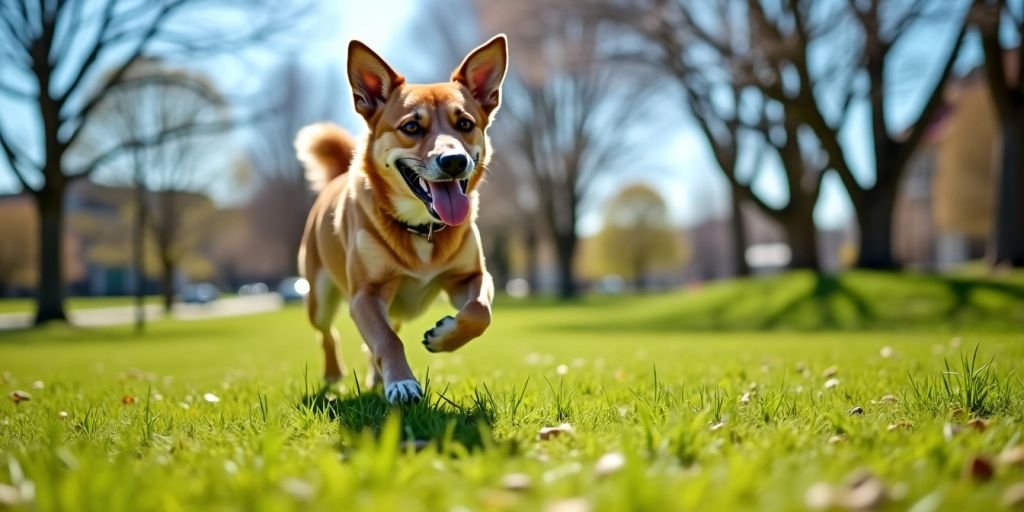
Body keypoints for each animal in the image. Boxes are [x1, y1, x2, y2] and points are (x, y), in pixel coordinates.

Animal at [294, 35, 505, 403]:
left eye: (465, 124)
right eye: (411, 127)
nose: (454, 160)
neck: (422, 229)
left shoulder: (471, 276)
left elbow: (480, 311)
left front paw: (444, 335)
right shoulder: (365, 294)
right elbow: (387, 340)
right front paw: (402, 383)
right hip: (318, 297)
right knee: (328, 334)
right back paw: (334, 374)